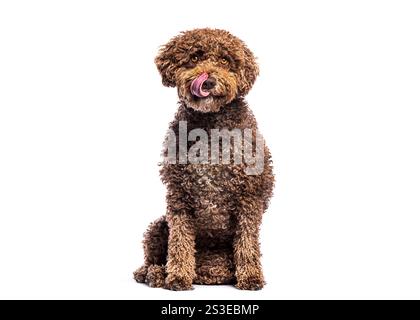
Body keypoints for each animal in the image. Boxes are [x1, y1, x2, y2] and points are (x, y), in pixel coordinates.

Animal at [133, 28, 274, 290]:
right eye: (195, 57)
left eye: (225, 61)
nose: (207, 81)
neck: (210, 124)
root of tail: (209, 272)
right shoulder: (179, 197)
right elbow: (180, 241)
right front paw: (178, 277)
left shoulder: (250, 197)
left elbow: (247, 242)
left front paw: (250, 277)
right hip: (159, 225)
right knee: (154, 255)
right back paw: (154, 273)